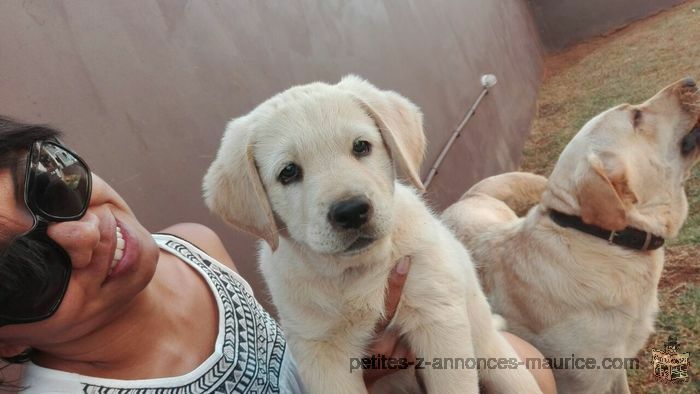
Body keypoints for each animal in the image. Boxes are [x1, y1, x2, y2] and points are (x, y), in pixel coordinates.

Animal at [202, 75, 540, 392]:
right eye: (288, 172)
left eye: (361, 146)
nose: (351, 211)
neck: (355, 274)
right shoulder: (320, 354)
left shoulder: (437, 316)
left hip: (500, 363)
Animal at [442, 78, 700, 392]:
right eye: (636, 116)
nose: (690, 81)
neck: (601, 239)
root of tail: (466, 197)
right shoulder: (583, 382)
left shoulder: (615, 364)